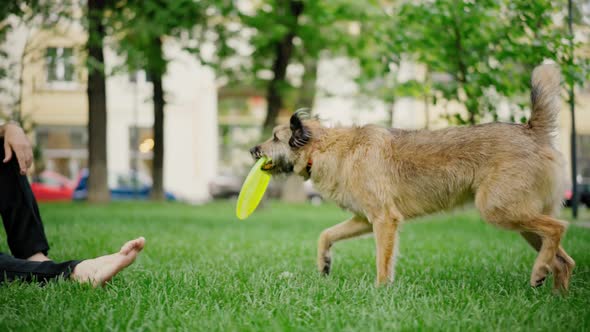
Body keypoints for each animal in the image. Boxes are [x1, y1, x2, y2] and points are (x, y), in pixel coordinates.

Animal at [251, 63, 580, 290]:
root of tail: (530, 130)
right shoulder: (363, 219)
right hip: (521, 220)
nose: (253, 149)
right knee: (564, 261)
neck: (326, 147)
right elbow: (326, 234)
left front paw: (380, 291)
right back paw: (554, 298)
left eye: (275, 137)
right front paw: (324, 264)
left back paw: (540, 271)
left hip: (499, 209)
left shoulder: (385, 220)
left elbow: (382, 263)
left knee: (558, 228)